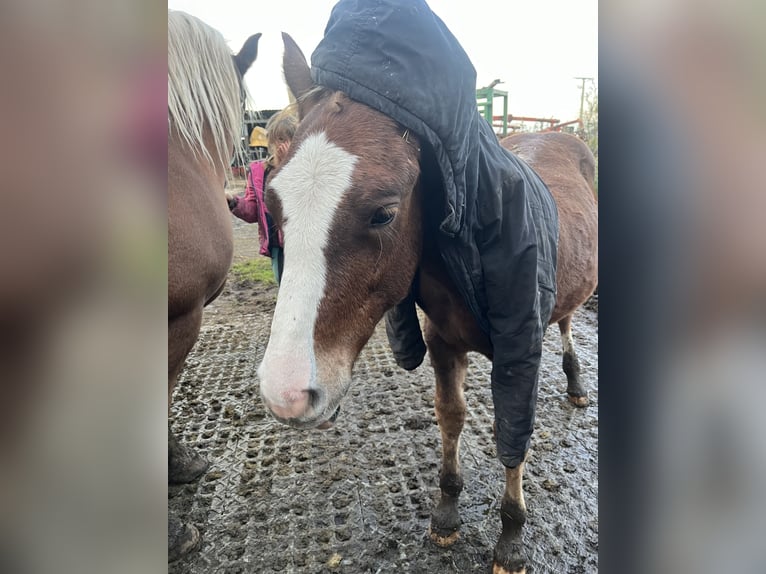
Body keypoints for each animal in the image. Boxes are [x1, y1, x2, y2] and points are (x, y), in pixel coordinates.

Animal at [260, 35, 604, 574]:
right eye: (273, 206)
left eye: (384, 213)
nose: (286, 394)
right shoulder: (442, 343)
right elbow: (451, 415)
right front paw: (446, 511)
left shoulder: (520, 348)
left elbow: (513, 432)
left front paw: (511, 537)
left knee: (567, 322)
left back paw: (575, 383)